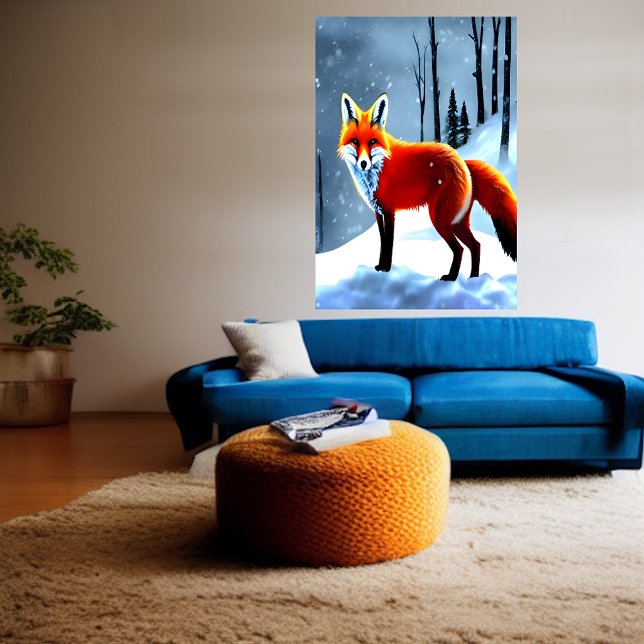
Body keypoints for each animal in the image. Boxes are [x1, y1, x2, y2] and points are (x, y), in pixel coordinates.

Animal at [337, 92, 517, 281]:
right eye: (355, 141)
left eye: (372, 141)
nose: (363, 163)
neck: (378, 170)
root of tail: (462, 161)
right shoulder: (378, 212)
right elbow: (381, 242)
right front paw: (380, 266)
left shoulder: (389, 211)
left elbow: (388, 244)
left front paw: (386, 269)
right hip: (457, 222)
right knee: (476, 245)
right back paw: (473, 278)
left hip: (439, 218)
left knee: (459, 249)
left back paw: (451, 277)